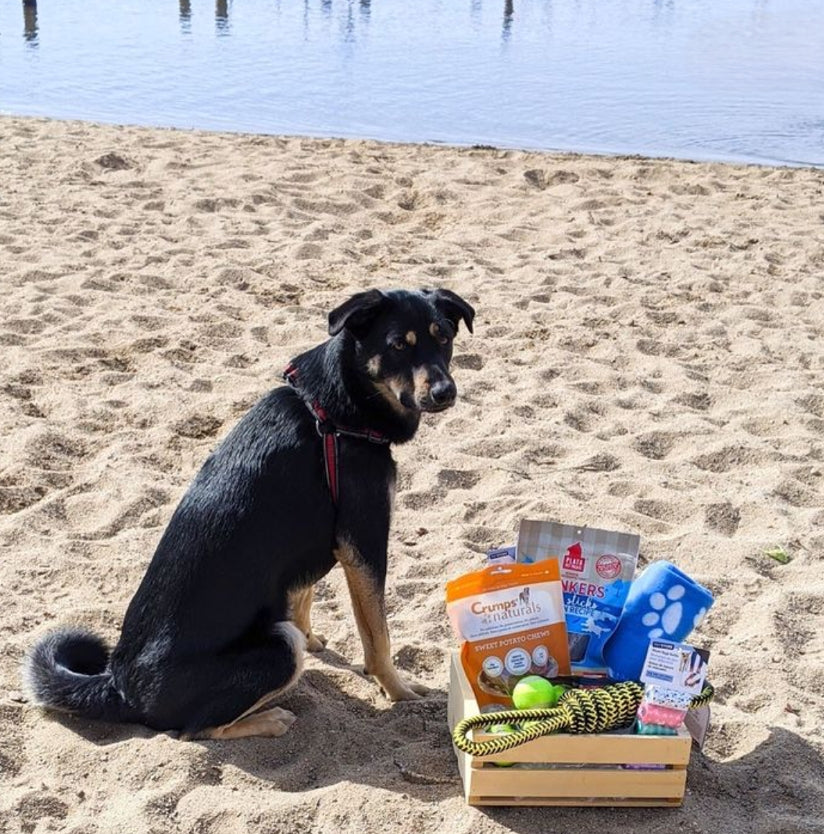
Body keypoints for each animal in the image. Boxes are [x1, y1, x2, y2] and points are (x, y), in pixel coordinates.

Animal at [24, 290, 476, 736]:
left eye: (444, 337)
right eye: (398, 344)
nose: (445, 392)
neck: (332, 413)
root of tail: (120, 687)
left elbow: (302, 592)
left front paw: (314, 636)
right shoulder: (364, 544)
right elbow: (378, 637)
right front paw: (400, 691)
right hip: (278, 648)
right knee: (196, 730)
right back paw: (269, 719)